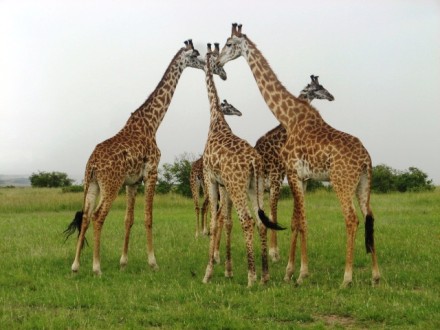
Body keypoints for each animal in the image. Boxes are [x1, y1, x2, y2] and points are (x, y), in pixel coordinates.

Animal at [63, 39, 227, 276]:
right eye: (196, 55)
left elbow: (128, 219)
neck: (152, 123)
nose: (222, 73)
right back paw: (96, 267)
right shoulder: (152, 172)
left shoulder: (132, 182)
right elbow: (148, 218)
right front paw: (153, 262)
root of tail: (92, 164)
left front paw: (123, 262)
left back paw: (75, 265)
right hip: (110, 185)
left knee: (85, 216)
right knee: (97, 216)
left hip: (91, 184)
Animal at [191, 99, 242, 238]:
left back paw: (198, 232)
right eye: (229, 106)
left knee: (198, 205)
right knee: (205, 206)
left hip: (195, 185)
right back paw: (203, 231)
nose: (239, 112)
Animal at [201, 43, 284, 286]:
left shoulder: (211, 178)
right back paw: (264, 276)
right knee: (260, 221)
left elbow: (214, 222)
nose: (223, 73)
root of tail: (254, 161)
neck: (216, 121)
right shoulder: (224, 184)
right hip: (253, 186)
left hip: (239, 186)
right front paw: (226, 270)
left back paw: (251, 277)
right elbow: (225, 221)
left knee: (247, 221)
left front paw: (208, 273)